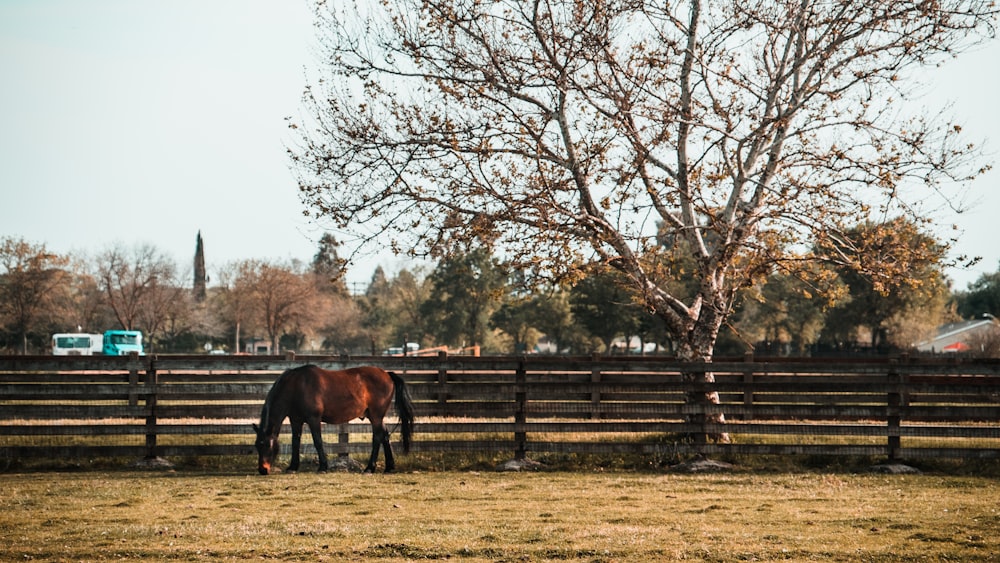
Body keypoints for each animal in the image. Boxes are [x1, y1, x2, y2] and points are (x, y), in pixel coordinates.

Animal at [256, 366, 416, 476]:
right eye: (257, 446)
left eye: (267, 445)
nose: (263, 470)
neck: (297, 386)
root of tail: (386, 374)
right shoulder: (296, 420)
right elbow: (296, 442)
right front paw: (293, 467)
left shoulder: (314, 419)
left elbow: (318, 441)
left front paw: (322, 467)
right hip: (375, 416)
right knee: (385, 435)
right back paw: (389, 467)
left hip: (376, 416)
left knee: (377, 437)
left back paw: (370, 468)